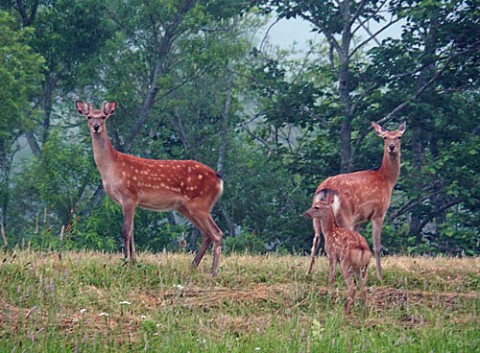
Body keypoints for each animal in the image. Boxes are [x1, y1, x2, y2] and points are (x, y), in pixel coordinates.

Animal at [76, 100, 224, 274]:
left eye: (104, 117)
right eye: (89, 116)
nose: (96, 126)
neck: (112, 167)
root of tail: (219, 180)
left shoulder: (129, 195)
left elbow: (126, 231)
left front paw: (125, 262)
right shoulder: (126, 201)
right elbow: (132, 230)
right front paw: (134, 261)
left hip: (200, 203)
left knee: (217, 233)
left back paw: (213, 272)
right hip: (185, 207)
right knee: (207, 234)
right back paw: (193, 266)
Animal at [308, 121, 404, 278]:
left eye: (399, 136)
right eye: (385, 137)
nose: (391, 146)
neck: (386, 179)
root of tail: (326, 189)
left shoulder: (359, 219)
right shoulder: (379, 212)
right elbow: (377, 246)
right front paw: (380, 276)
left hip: (316, 214)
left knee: (316, 239)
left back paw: (309, 272)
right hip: (344, 215)